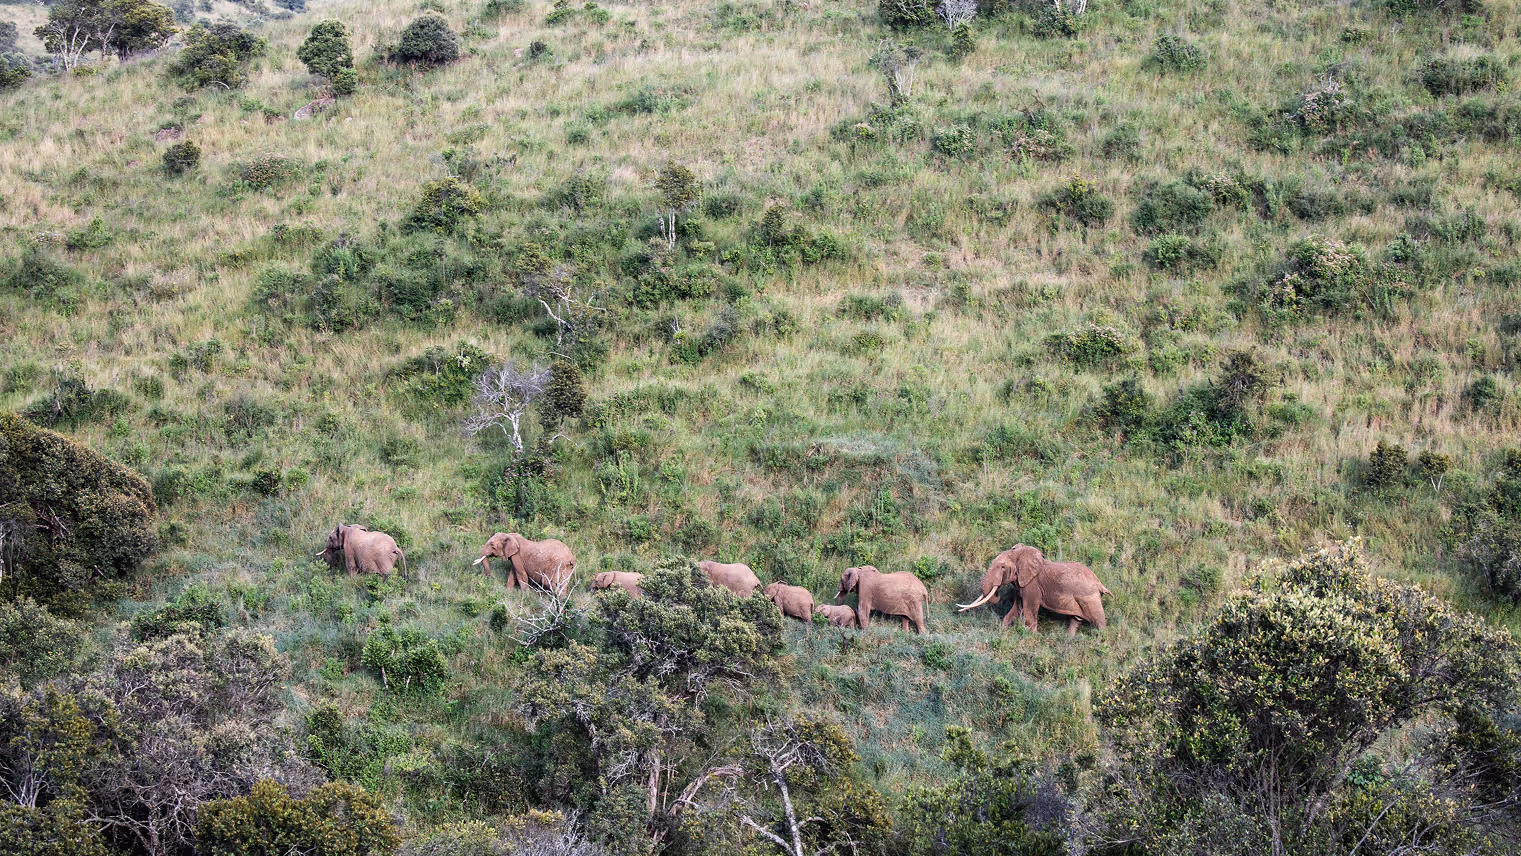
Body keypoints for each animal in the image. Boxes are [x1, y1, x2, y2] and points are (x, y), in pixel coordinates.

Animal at [957, 544, 1111, 636]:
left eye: (1002, 567)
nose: (998, 592)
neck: (1021, 555)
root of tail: (1099, 583)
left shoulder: (1032, 586)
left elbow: (1029, 609)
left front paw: (1032, 637)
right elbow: (1016, 608)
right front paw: (1004, 632)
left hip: (1090, 598)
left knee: (1099, 621)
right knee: (1076, 619)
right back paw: (1068, 639)